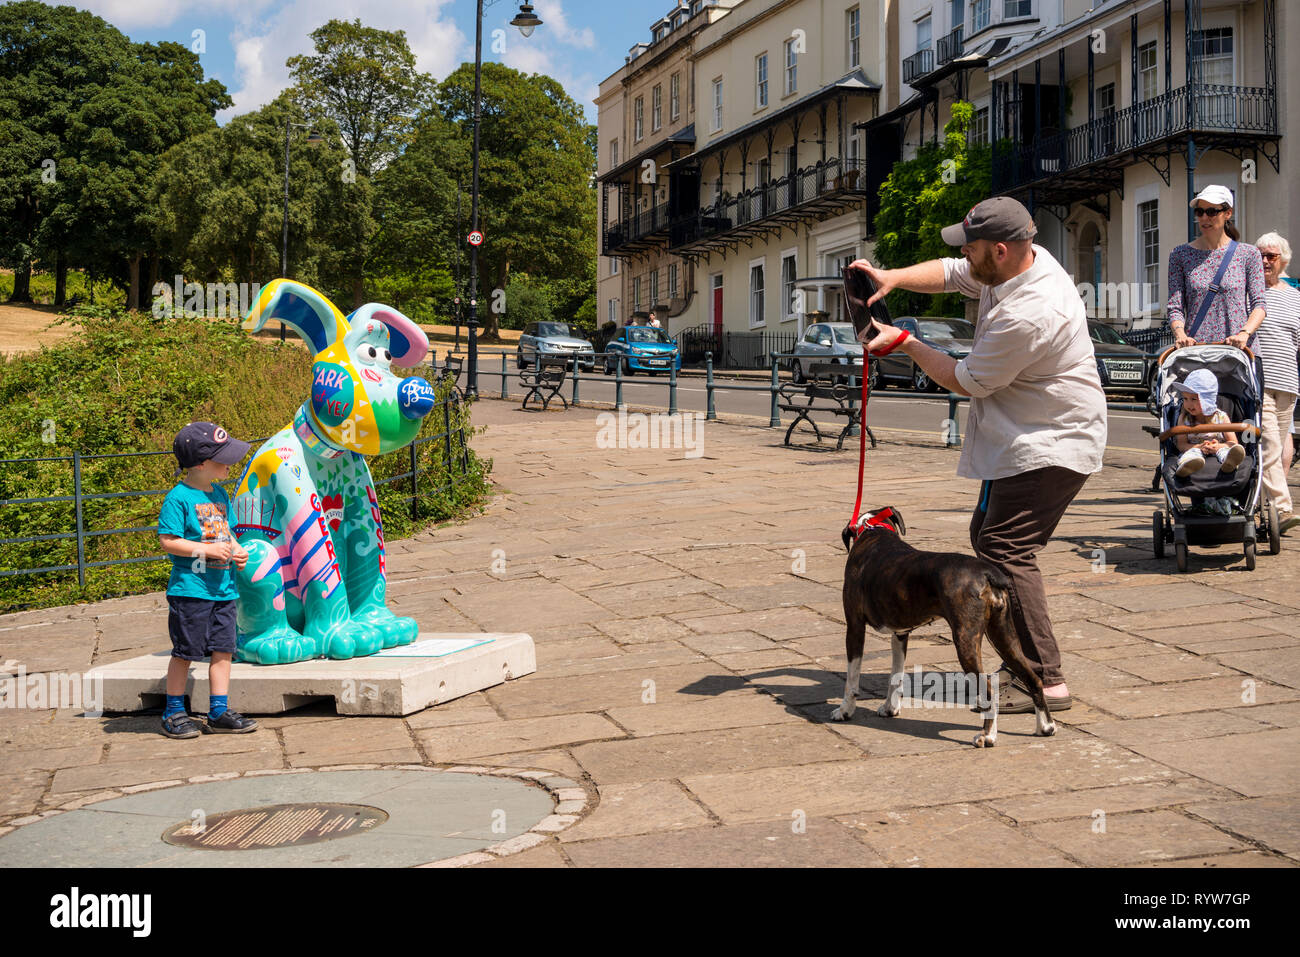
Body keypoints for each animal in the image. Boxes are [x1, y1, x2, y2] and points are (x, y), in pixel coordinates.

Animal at [832, 509, 1055, 748]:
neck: (873, 530)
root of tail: (988, 573)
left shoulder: (854, 627)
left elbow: (852, 678)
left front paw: (845, 711)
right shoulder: (900, 634)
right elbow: (896, 674)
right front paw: (890, 708)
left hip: (966, 639)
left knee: (987, 688)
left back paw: (987, 736)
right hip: (1004, 636)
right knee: (1033, 677)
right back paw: (1045, 726)